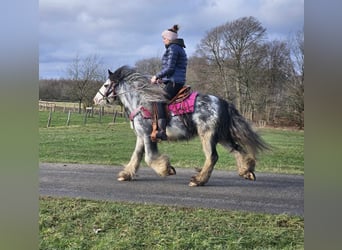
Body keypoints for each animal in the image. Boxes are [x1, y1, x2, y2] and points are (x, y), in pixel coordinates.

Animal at [94, 65, 270, 187]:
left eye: (106, 85)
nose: (96, 99)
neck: (141, 101)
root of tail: (224, 103)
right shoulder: (141, 136)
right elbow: (136, 156)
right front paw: (126, 174)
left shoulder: (147, 135)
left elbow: (149, 158)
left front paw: (166, 169)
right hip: (223, 137)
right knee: (237, 150)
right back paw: (246, 171)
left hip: (208, 135)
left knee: (212, 157)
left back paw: (198, 180)